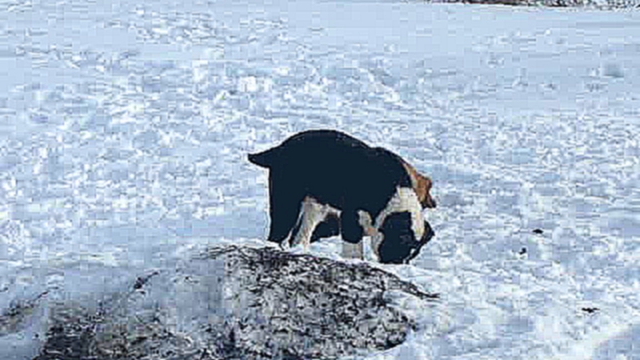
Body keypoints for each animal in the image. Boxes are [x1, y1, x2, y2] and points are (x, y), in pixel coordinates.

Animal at [248, 129, 438, 264]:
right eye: (398, 247)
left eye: (412, 255)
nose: (397, 265)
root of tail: (280, 148)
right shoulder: (351, 219)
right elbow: (354, 251)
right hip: (287, 200)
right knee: (279, 232)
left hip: (315, 206)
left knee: (301, 234)